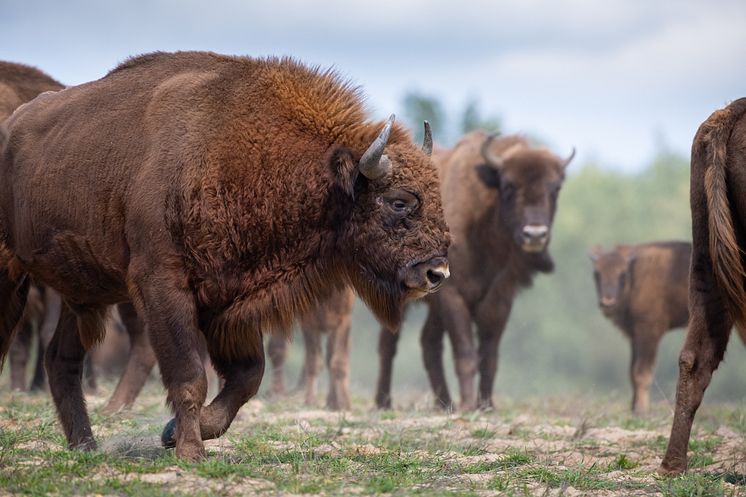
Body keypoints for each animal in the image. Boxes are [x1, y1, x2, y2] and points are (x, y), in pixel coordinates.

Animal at [0, 51, 448, 462]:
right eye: (398, 201)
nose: (437, 272)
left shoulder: (229, 303)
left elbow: (247, 377)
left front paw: (174, 433)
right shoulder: (163, 288)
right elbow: (189, 375)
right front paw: (190, 451)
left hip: (83, 295)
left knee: (61, 360)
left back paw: (85, 446)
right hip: (13, 273)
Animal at [374, 130, 572, 408]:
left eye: (555, 189)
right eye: (509, 186)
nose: (535, 234)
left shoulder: (499, 299)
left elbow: (489, 355)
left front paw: (486, 405)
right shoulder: (453, 295)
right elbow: (465, 352)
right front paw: (468, 405)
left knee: (428, 343)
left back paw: (444, 403)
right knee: (389, 343)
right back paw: (384, 401)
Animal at [588, 242, 688, 412]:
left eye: (622, 274)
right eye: (597, 273)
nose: (607, 302)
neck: (635, 274)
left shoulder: (648, 332)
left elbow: (641, 372)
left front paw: (641, 410)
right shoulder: (634, 336)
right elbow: (631, 372)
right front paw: (633, 408)